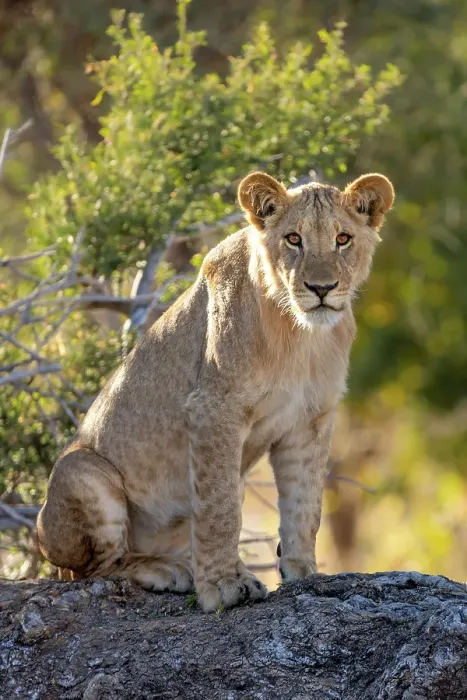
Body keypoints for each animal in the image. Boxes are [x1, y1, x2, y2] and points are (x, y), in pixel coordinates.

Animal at [37, 170, 394, 612]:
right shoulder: (213, 409)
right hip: (81, 471)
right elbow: (220, 509)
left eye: (342, 238)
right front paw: (224, 586)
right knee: (91, 569)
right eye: (293, 239)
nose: (322, 288)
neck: (301, 335)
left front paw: (304, 573)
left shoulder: (311, 421)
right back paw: (169, 570)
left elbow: (306, 505)